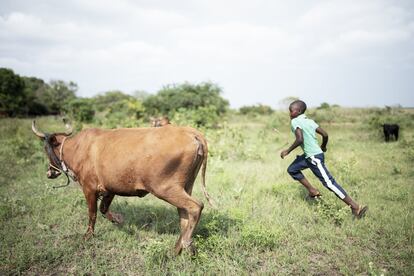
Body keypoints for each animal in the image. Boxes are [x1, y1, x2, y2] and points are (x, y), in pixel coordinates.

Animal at [32, 121, 212, 254]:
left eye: (46, 149)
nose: (49, 173)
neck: (78, 147)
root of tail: (190, 132)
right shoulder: (110, 189)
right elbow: (103, 209)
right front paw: (118, 220)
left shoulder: (89, 188)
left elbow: (92, 214)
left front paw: (87, 236)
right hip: (185, 186)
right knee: (184, 216)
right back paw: (176, 250)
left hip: (165, 189)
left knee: (196, 207)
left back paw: (186, 244)